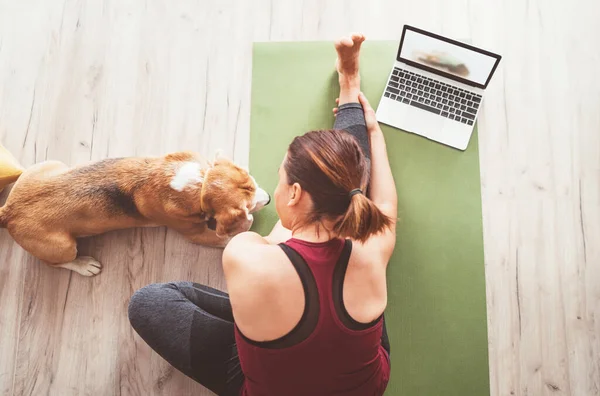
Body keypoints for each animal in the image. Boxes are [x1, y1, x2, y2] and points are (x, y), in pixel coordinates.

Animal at [0, 150, 270, 276]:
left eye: (253, 181)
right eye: (248, 205)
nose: (268, 199)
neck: (199, 182)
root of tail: (9, 211)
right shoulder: (196, 234)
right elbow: (229, 237)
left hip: (51, 165)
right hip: (62, 246)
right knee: (57, 263)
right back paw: (84, 265)